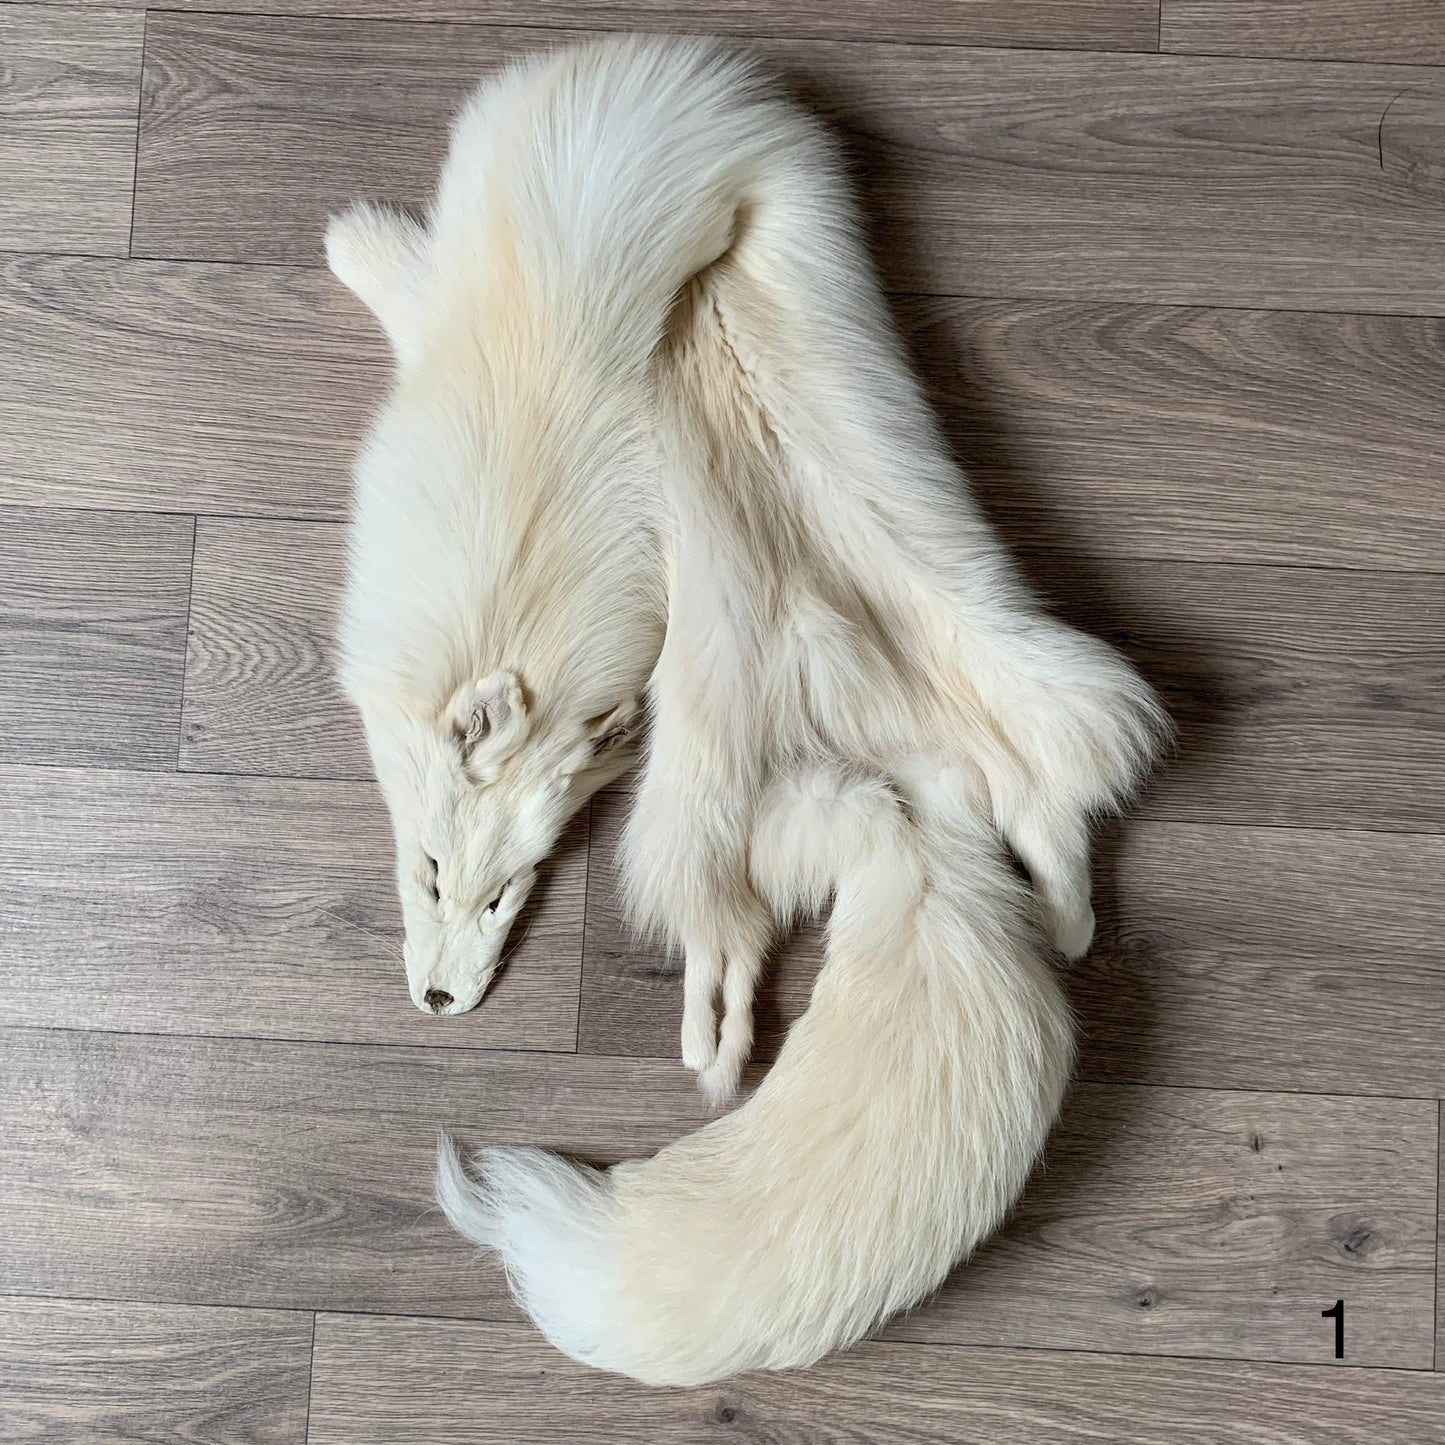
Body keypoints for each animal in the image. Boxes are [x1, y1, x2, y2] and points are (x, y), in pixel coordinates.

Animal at [329, 36, 1164, 1386]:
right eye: (431, 870)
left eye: (498, 893)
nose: (442, 1004)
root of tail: (904, 789)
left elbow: (392, 266)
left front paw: (351, 238)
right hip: (989, 705)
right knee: (1040, 821)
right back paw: (1061, 916)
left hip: (689, 807)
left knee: (721, 944)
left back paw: (712, 1052)